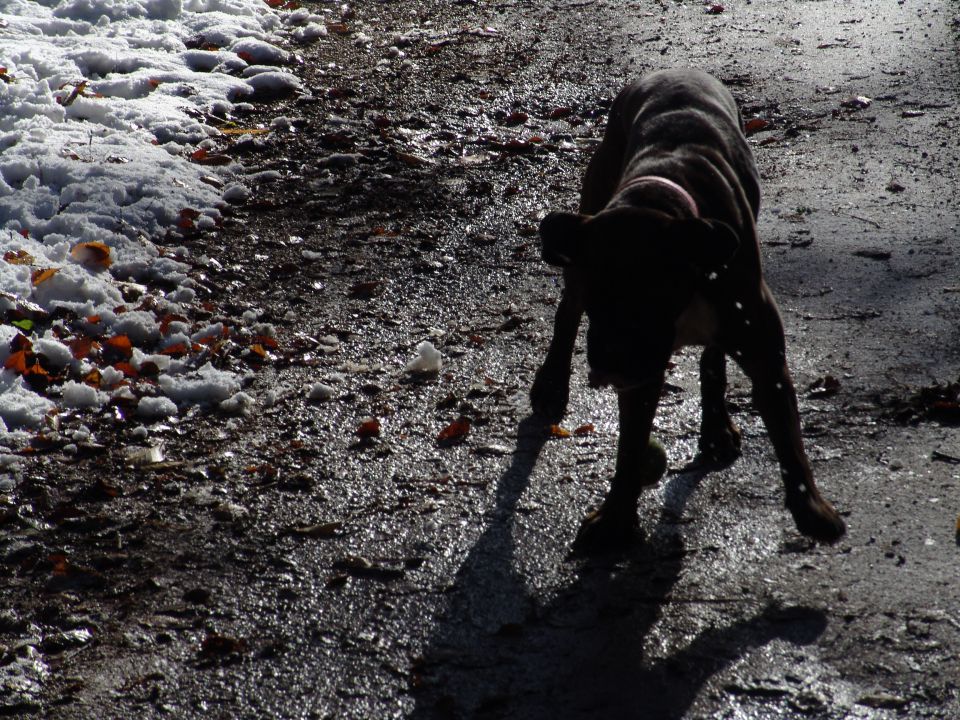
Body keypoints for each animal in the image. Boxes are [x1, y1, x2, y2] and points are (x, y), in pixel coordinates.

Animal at [532, 69, 848, 552]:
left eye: (648, 297)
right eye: (599, 300)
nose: (608, 365)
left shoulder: (761, 352)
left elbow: (787, 434)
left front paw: (811, 508)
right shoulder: (638, 368)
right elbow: (630, 445)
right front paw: (615, 517)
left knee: (712, 358)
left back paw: (716, 426)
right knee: (565, 314)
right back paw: (551, 383)